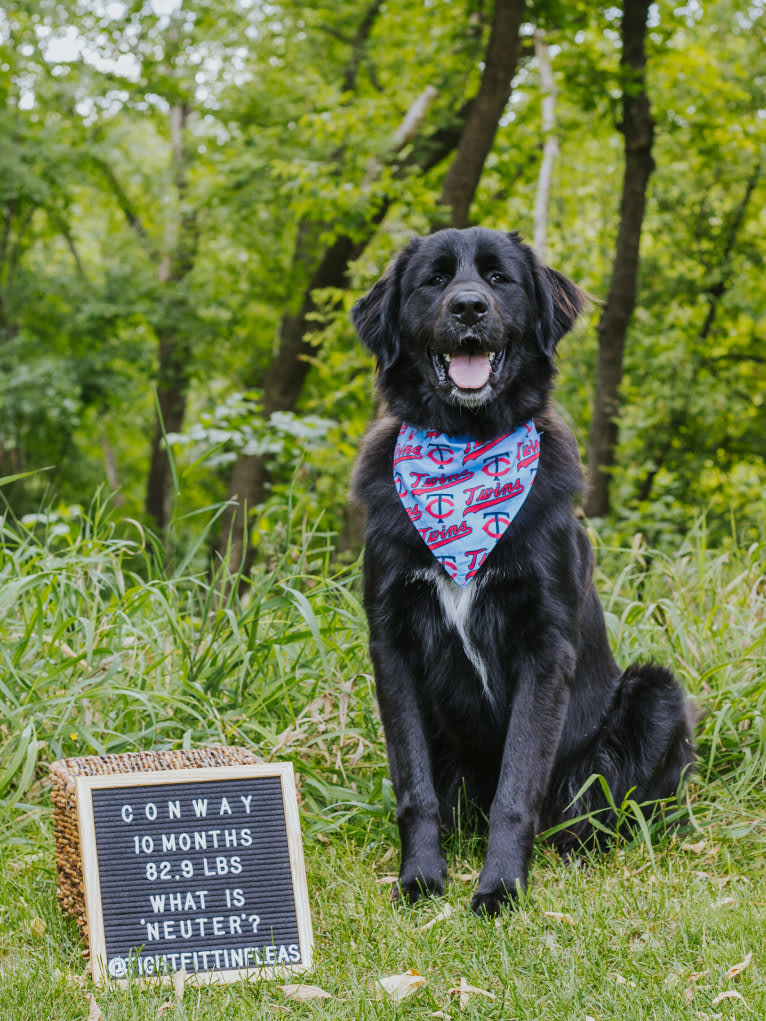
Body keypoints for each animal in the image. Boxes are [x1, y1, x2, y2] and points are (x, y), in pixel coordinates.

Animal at [353, 229, 694, 918]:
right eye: (434, 280)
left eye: (498, 278)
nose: (468, 309)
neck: (466, 450)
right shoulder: (392, 641)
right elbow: (414, 787)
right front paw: (421, 879)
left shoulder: (545, 645)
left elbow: (517, 787)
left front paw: (500, 888)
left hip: (656, 693)